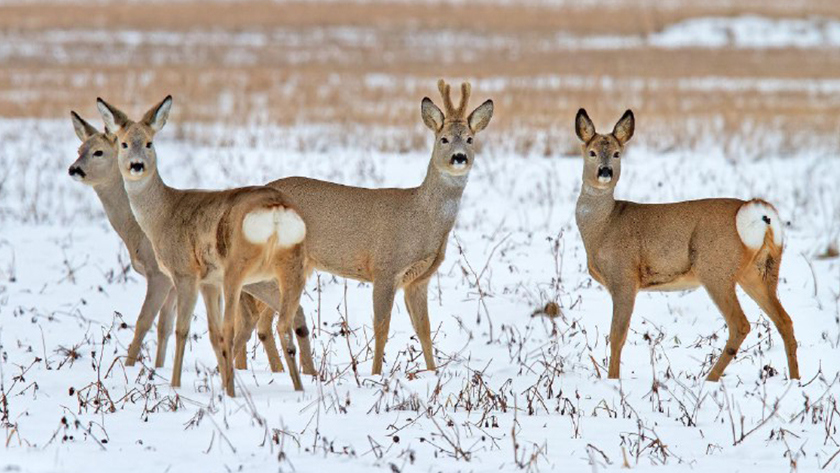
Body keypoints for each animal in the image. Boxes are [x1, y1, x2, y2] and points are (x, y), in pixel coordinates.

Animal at [68, 112, 316, 374]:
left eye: (99, 152)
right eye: (79, 149)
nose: (74, 169)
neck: (137, 229)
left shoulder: (162, 275)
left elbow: (146, 322)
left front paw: (131, 366)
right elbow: (164, 326)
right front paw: (158, 367)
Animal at [576, 108, 796, 380]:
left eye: (617, 153)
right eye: (591, 152)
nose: (605, 171)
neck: (603, 226)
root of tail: (758, 213)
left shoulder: (624, 276)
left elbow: (617, 336)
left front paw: (613, 380)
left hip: (715, 268)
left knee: (741, 324)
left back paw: (710, 379)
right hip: (760, 270)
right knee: (785, 320)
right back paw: (796, 379)